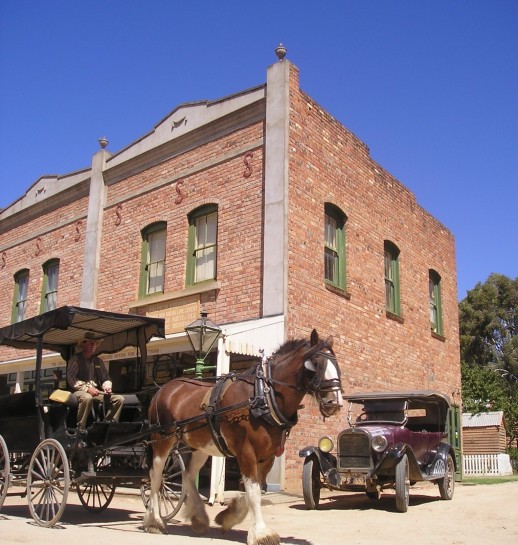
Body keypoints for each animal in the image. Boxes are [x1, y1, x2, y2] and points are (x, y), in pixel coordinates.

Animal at [143, 330, 346, 540]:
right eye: (316, 362)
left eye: (336, 363)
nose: (335, 402)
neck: (263, 397)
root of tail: (163, 389)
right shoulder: (245, 451)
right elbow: (254, 492)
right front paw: (261, 533)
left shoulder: (267, 456)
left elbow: (255, 488)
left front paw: (229, 517)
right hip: (162, 440)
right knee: (156, 476)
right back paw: (155, 521)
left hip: (200, 446)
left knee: (188, 474)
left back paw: (197, 517)